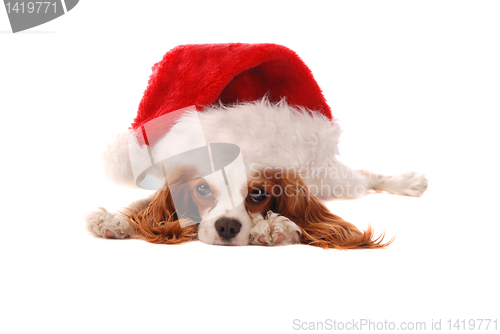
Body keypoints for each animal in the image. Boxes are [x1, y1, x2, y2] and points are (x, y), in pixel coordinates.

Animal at [86, 99, 426, 248]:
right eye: (203, 190)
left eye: (258, 194)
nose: (226, 226)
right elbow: (143, 208)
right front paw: (115, 220)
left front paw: (274, 227)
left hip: (331, 179)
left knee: (365, 177)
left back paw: (408, 182)